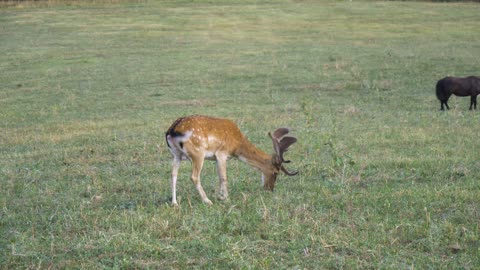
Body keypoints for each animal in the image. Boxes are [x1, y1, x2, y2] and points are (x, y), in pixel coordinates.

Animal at [167, 114, 298, 205]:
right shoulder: (222, 153)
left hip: (176, 154)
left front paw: (221, 195)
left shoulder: (217, 158)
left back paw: (174, 203)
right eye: (276, 172)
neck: (237, 145)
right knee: (194, 176)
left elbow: (220, 177)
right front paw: (224, 198)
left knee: (173, 174)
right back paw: (207, 201)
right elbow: (224, 177)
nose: (269, 189)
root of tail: (172, 130)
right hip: (198, 153)